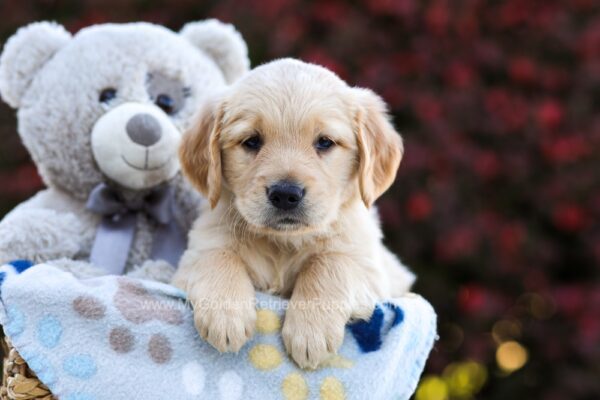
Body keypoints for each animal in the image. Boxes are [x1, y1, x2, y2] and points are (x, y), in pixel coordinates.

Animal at [175, 58, 412, 368]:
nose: (285, 194)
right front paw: (225, 317)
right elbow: (218, 256)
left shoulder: (372, 269)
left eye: (325, 142)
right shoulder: (196, 253)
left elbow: (329, 262)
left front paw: (311, 332)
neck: (283, 244)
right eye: (251, 141)